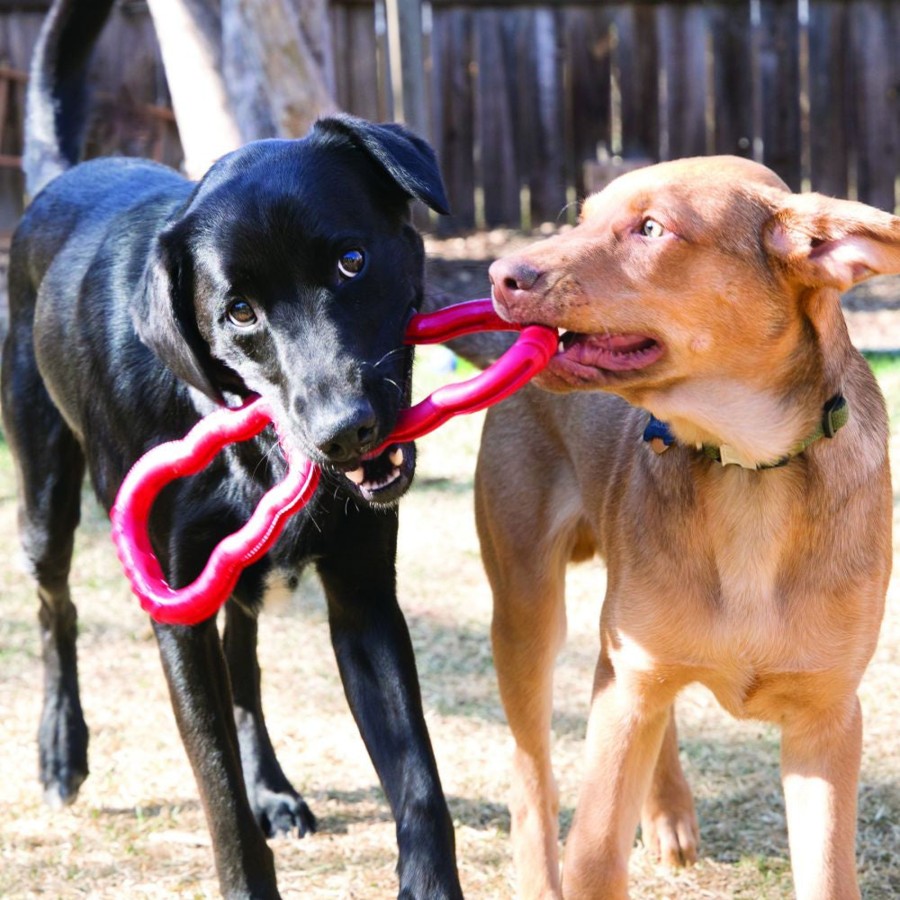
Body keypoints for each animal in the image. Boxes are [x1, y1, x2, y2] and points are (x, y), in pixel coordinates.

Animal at [5, 3, 464, 896]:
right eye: (239, 312)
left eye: (352, 260)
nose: (345, 430)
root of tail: (57, 177)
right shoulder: (175, 609)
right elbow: (214, 787)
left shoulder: (364, 594)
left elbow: (420, 781)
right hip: (44, 500)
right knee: (55, 609)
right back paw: (59, 749)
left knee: (244, 662)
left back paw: (273, 788)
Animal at [478, 158, 892, 896]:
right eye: (582, 218)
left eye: (651, 229)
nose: (500, 276)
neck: (748, 470)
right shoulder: (627, 690)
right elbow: (593, 857)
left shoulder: (827, 720)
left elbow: (827, 875)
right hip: (527, 607)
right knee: (533, 777)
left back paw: (668, 811)